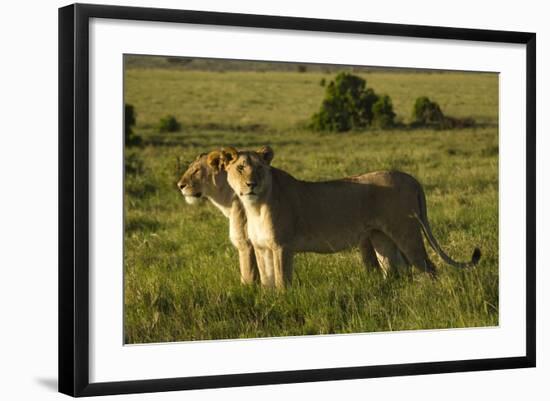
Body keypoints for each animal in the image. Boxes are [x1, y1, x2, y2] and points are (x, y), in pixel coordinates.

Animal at [223, 145, 484, 286]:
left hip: (406, 232)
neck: (255, 206)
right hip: (381, 237)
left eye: (259, 168)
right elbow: (267, 282)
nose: (252, 184)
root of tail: (412, 178)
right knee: (397, 270)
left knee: (429, 267)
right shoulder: (262, 248)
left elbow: (282, 282)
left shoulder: (282, 247)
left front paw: (284, 302)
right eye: (240, 168)